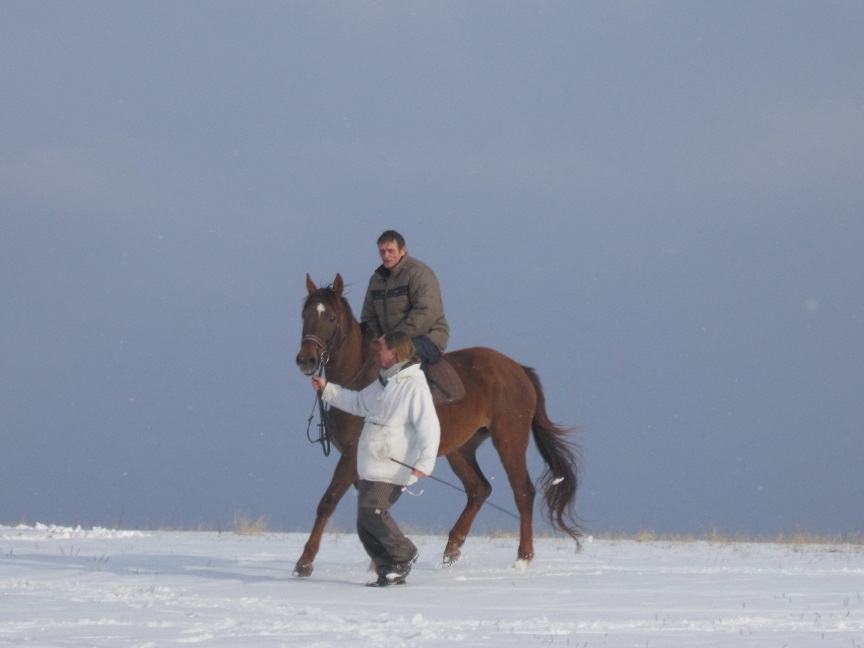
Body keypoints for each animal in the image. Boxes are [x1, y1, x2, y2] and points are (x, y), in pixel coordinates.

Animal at [294, 274, 584, 576]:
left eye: (331, 318)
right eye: (304, 315)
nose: (306, 360)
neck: (360, 378)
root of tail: (518, 369)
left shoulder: (352, 455)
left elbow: (329, 501)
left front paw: (305, 562)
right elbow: (369, 503)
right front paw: (381, 560)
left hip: (509, 442)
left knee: (523, 492)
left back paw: (523, 557)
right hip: (461, 450)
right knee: (479, 490)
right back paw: (451, 550)